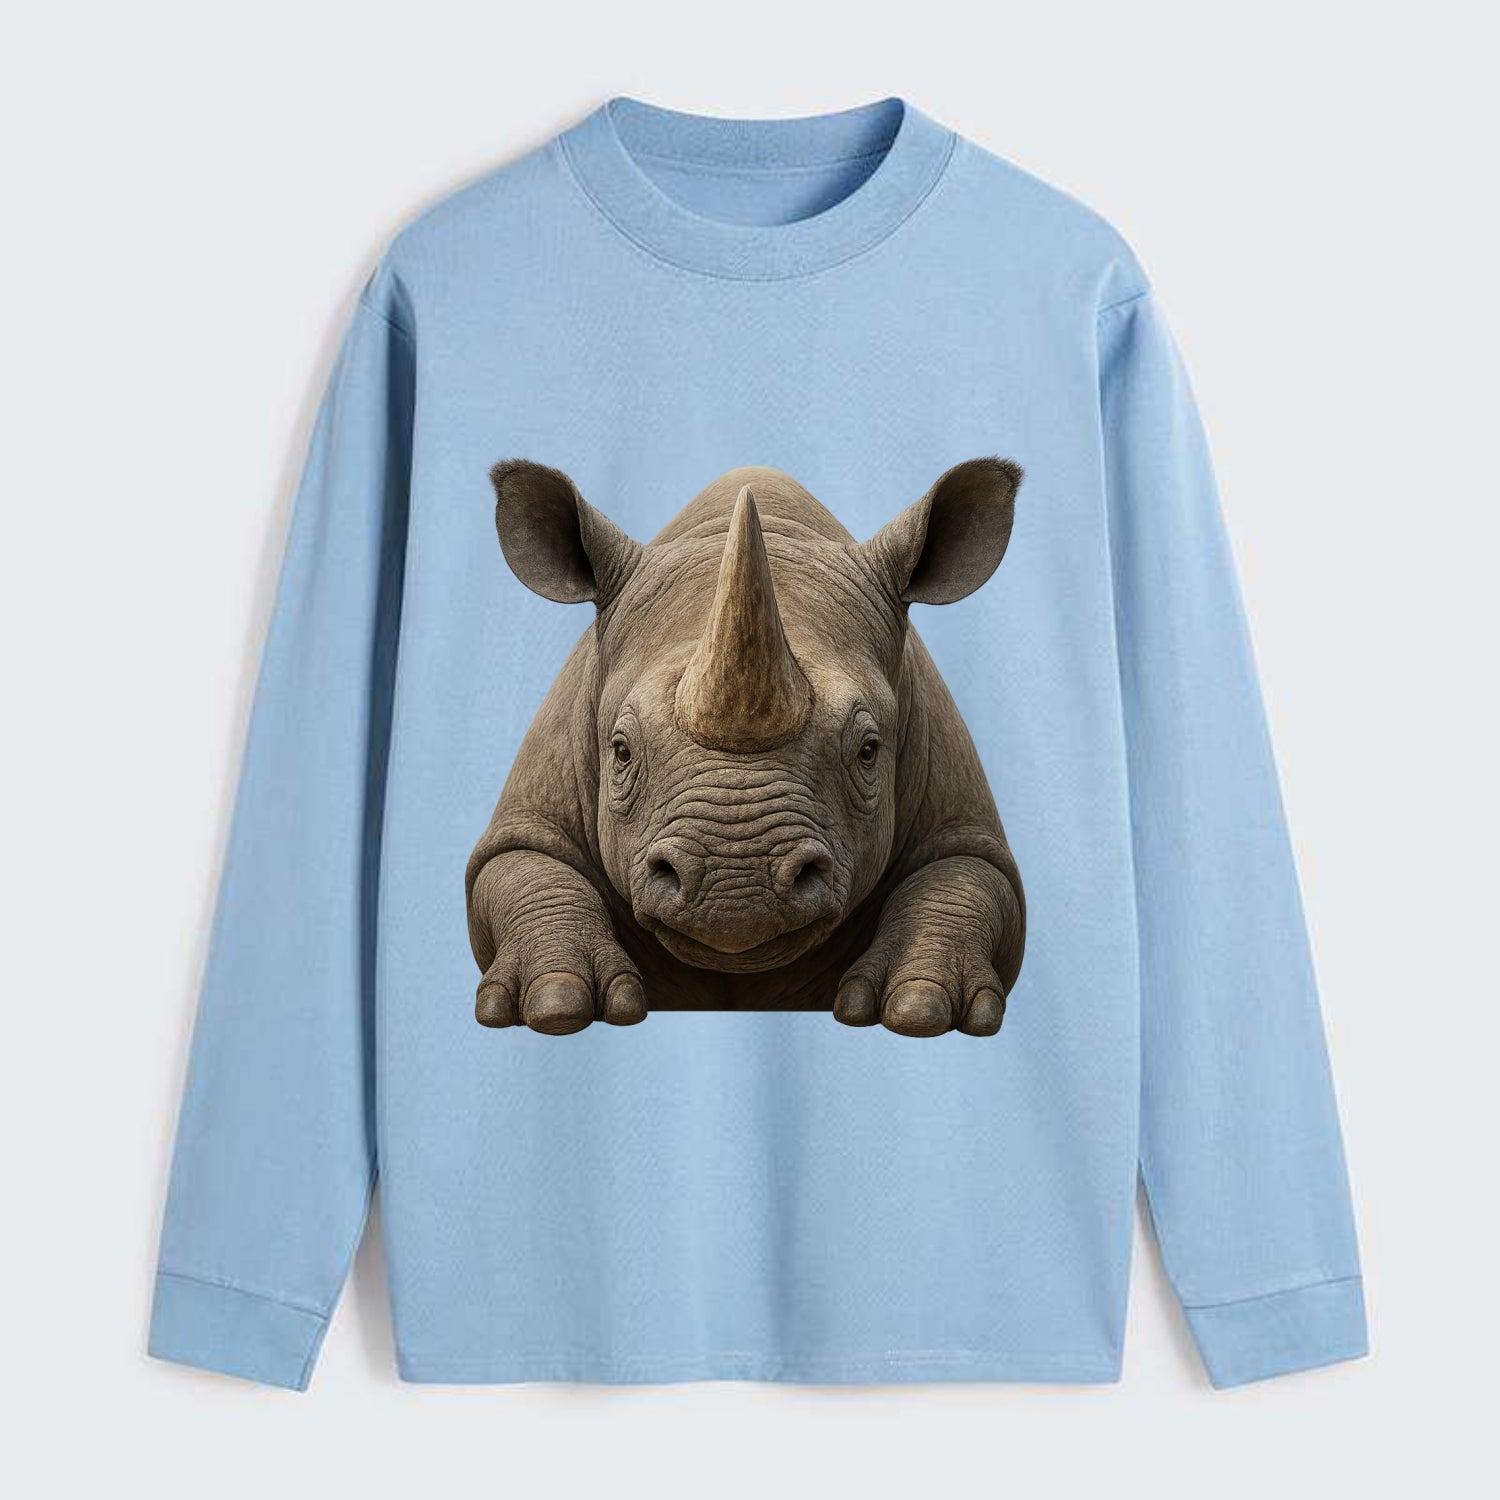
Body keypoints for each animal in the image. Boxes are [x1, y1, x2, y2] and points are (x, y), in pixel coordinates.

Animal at [465, 459, 1026, 1038]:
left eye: (869, 751)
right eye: (620, 751)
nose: (736, 887)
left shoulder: (958, 813)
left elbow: (964, 876)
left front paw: (921, 1008)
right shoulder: (532, 811)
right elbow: (523, 865)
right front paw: (556, 1004)